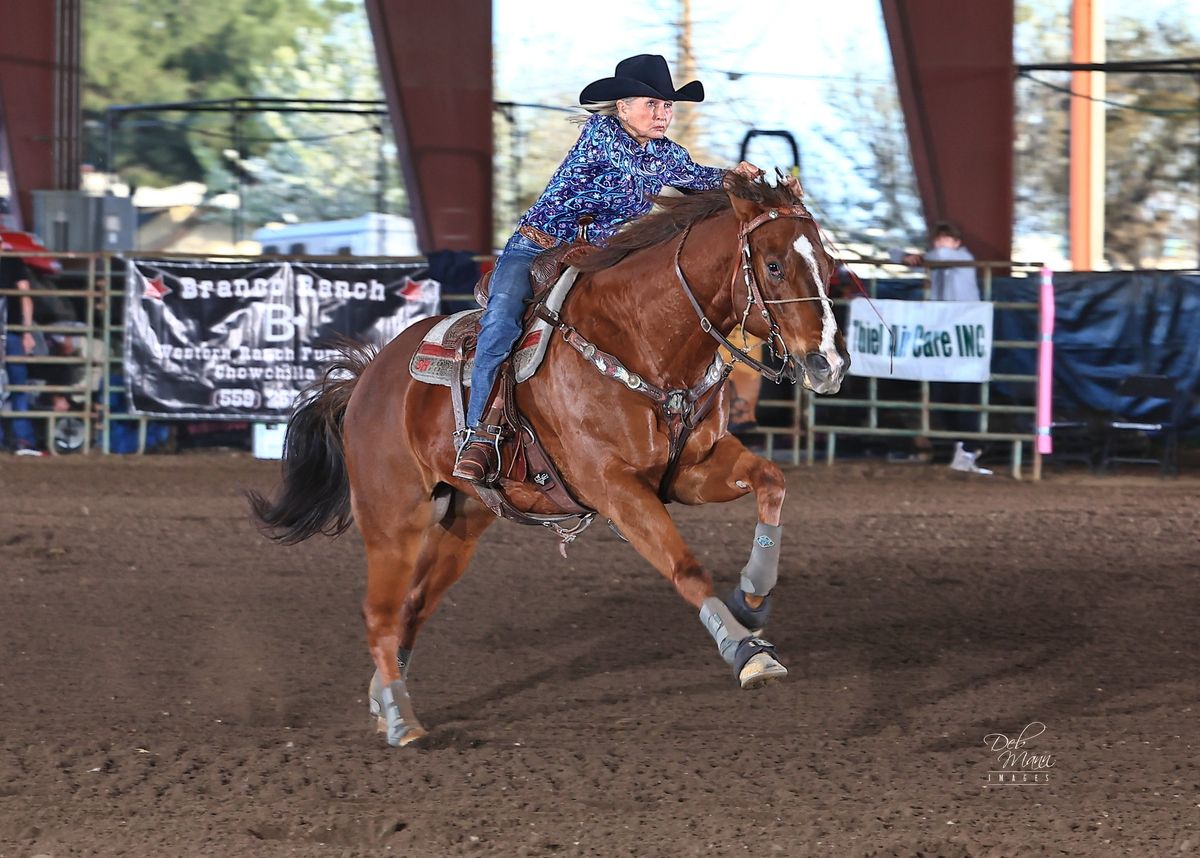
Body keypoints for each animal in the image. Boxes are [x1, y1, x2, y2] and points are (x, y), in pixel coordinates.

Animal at [252, 174, 849, 744]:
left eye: (828, 265)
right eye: (773, 265)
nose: (829, 364)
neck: (640, 340)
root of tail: (367, 379)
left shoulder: (692, 470)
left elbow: (772, 481)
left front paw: (752, 598)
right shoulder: (614, 488)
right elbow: (685, 567)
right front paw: (747, 652)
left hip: (463, 520)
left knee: (411, 607)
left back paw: (384, 699)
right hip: (391, 516)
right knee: (379, 614)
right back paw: (402, 721)